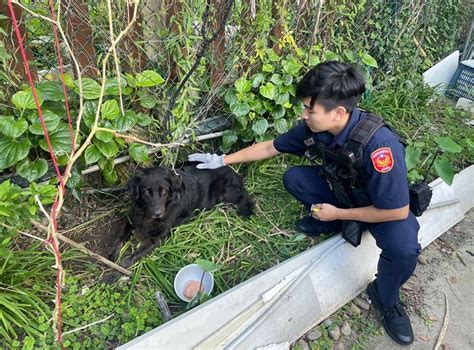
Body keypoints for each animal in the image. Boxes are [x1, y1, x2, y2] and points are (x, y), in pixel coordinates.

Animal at [102, 163, 254, 282]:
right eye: (146, 192)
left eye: (164, 191)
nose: (158, 213)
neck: (146, 214)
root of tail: (234, 172)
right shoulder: (132, 220)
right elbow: (120, 237)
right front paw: (112, 255)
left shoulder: (156, 240)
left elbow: (131, 258)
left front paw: (113, 274)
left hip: (226, 195)